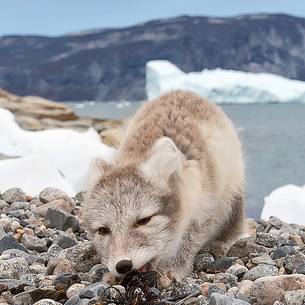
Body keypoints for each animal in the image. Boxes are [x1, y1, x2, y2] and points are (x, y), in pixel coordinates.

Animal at [82, 89, 246, 284]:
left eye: (144, 220)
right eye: (103, 230)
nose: (122, 265)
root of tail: (181, 91)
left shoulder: (203, 207)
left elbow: (187, 241)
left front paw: (172, 269)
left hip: (232, 194)